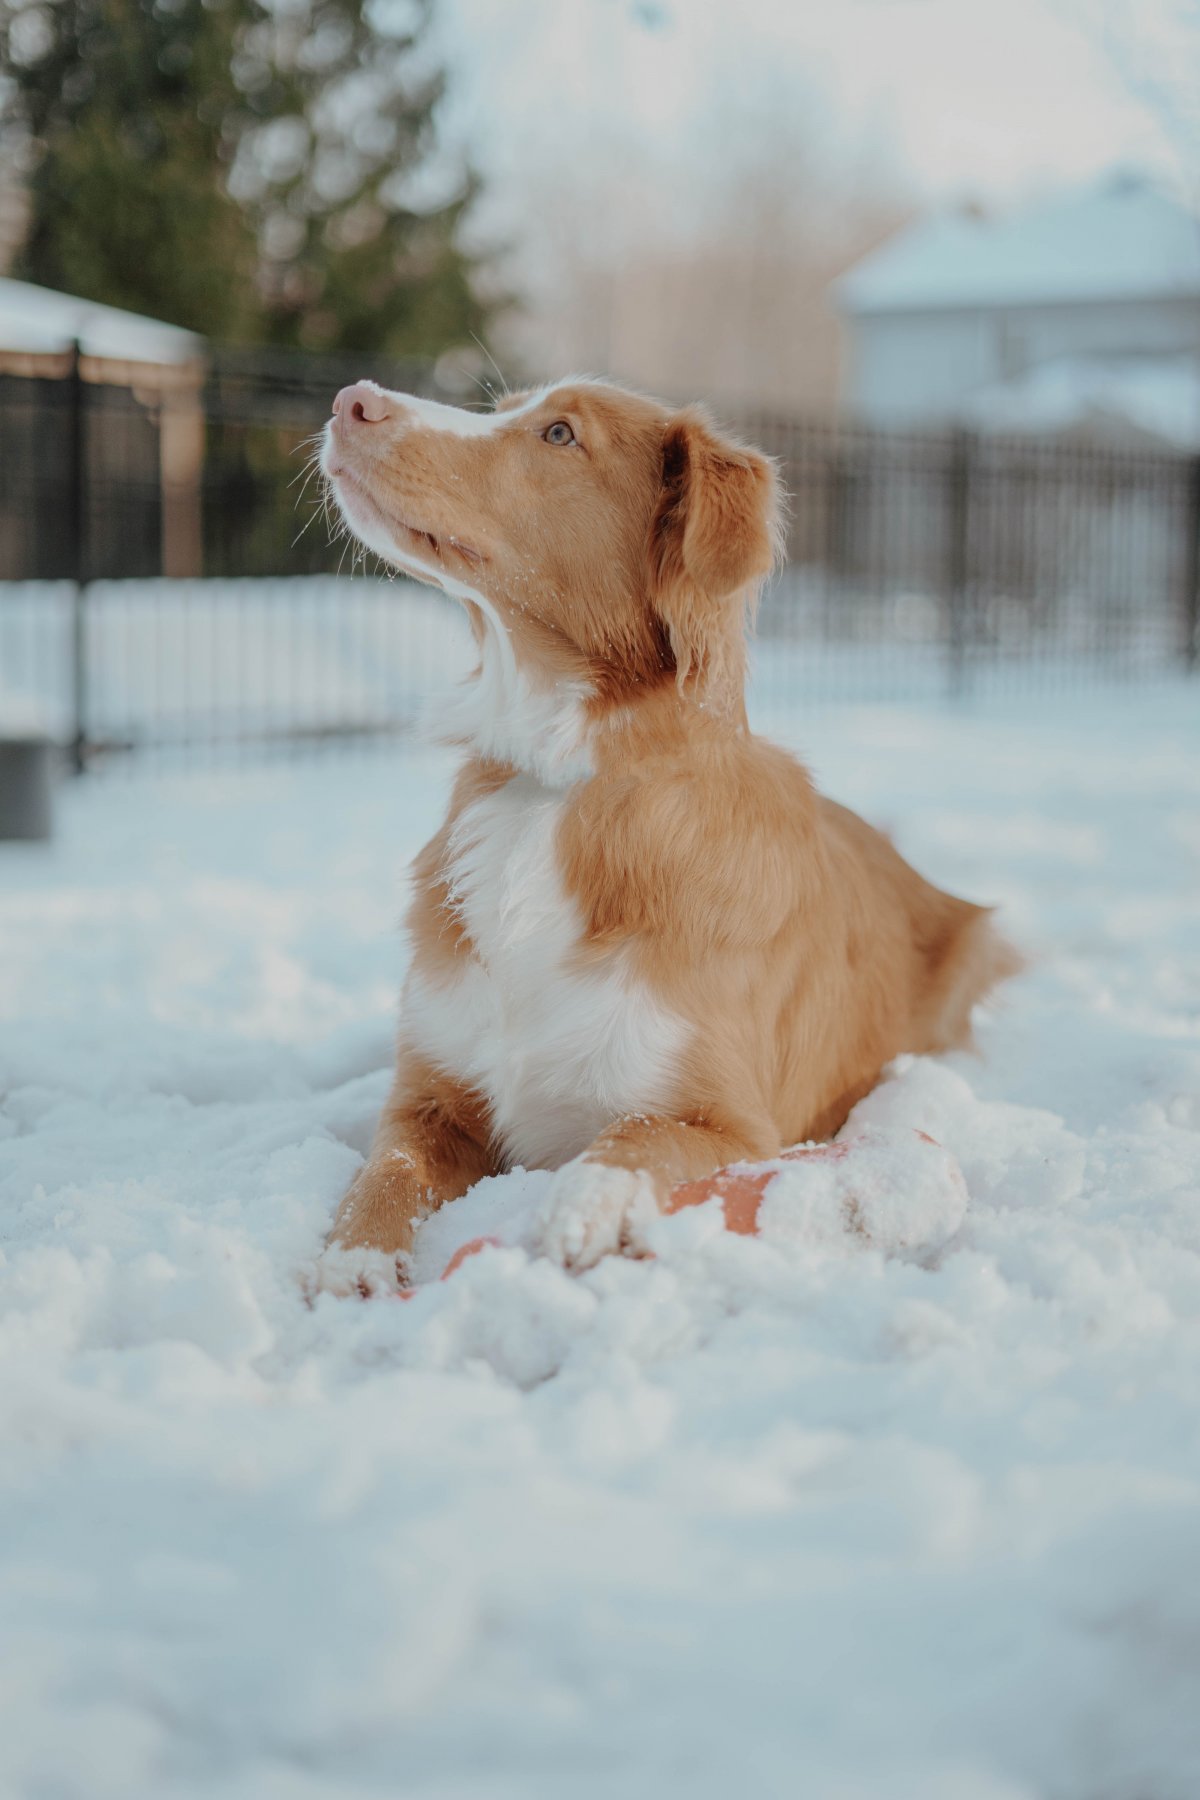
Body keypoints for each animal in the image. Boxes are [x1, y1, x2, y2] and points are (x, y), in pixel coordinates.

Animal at [316, 376, 1014, 1281]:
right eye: (503, 408)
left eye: (560, 434)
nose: (352, 399)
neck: (556, 779)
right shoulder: (430, 1096)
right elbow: (388, 1168)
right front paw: (354, 1257)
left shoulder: (735, 1122)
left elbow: (639, 1133)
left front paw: (591, 1199)